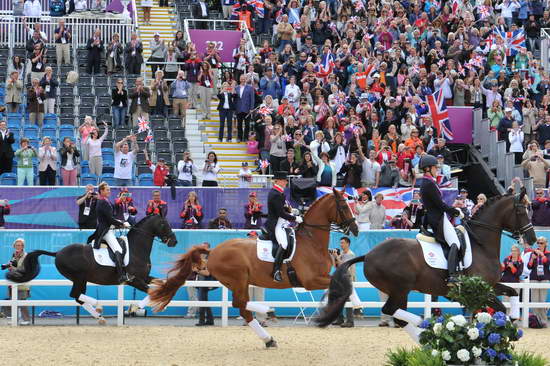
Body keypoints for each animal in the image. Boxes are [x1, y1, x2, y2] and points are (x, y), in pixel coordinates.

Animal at [5, 214, 177, 324]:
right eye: (164, 224)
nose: (174, 241)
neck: (136, 249)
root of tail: (58, 252)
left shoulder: (144, 277)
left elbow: (161, 284)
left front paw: (162, 302)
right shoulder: (133, 280)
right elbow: (151, 290)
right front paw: (135, 307)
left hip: (81, 279)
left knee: (77, 297)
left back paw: (99, 316)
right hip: (79, 278)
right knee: (75, 295)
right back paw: (99, 306)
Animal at [149, 190, 360, 348]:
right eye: (344, 206)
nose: (356, 229)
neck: (311, 241)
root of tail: (214, 251)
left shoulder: (320, 277)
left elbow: (345, 284)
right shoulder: (311, 280)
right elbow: (345, 285)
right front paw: (350, 308)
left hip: (239, 282)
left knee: (243, 307)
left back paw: (268, 337)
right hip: (238, 279)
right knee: (240, 304)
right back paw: (268, 313)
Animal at [316, 190, 536, 342]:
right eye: (520, 210)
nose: (532, 238)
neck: (480, 244)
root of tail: (369, 254)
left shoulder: (489, 285)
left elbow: (512, 293)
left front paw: (514, 317)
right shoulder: (481, 290)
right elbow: (500, 308)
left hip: (399, 291)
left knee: (397, 316)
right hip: (400, 288)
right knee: (393, 312)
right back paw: (423, 324)